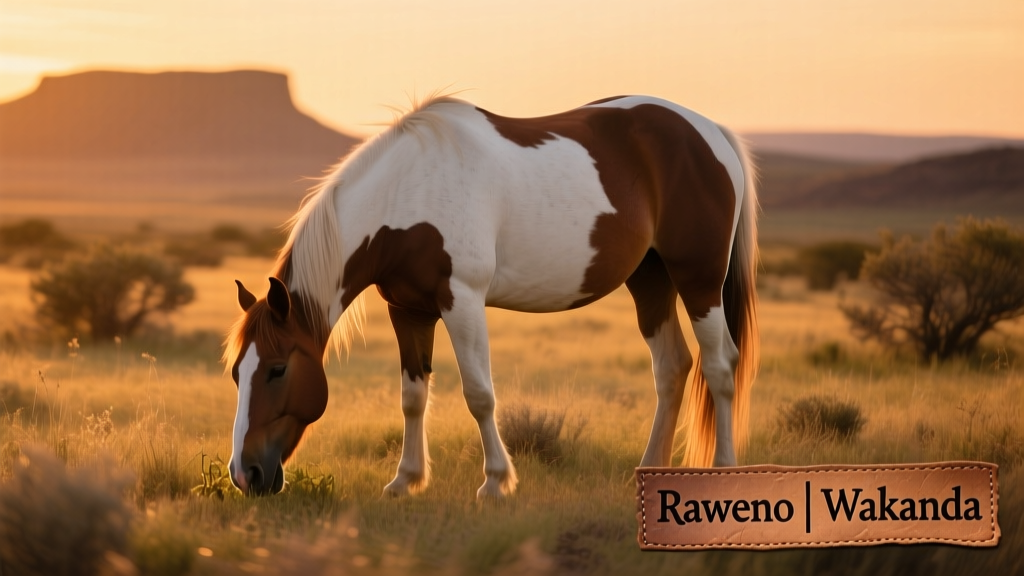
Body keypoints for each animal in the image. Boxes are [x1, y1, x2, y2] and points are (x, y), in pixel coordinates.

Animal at [224, 95, 758, 498]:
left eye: (277, 369)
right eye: (235, 374)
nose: (245, 474)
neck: (408, 193)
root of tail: (709, 131)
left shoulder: (462, 301)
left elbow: (479, 394)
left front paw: (497, 482)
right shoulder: (408, 310)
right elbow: (413, 396)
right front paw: (406, 480)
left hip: (699, 280)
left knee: (719, 366)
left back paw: (725, 472)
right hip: (650, 279)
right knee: (672, 368)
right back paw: (649, 471)